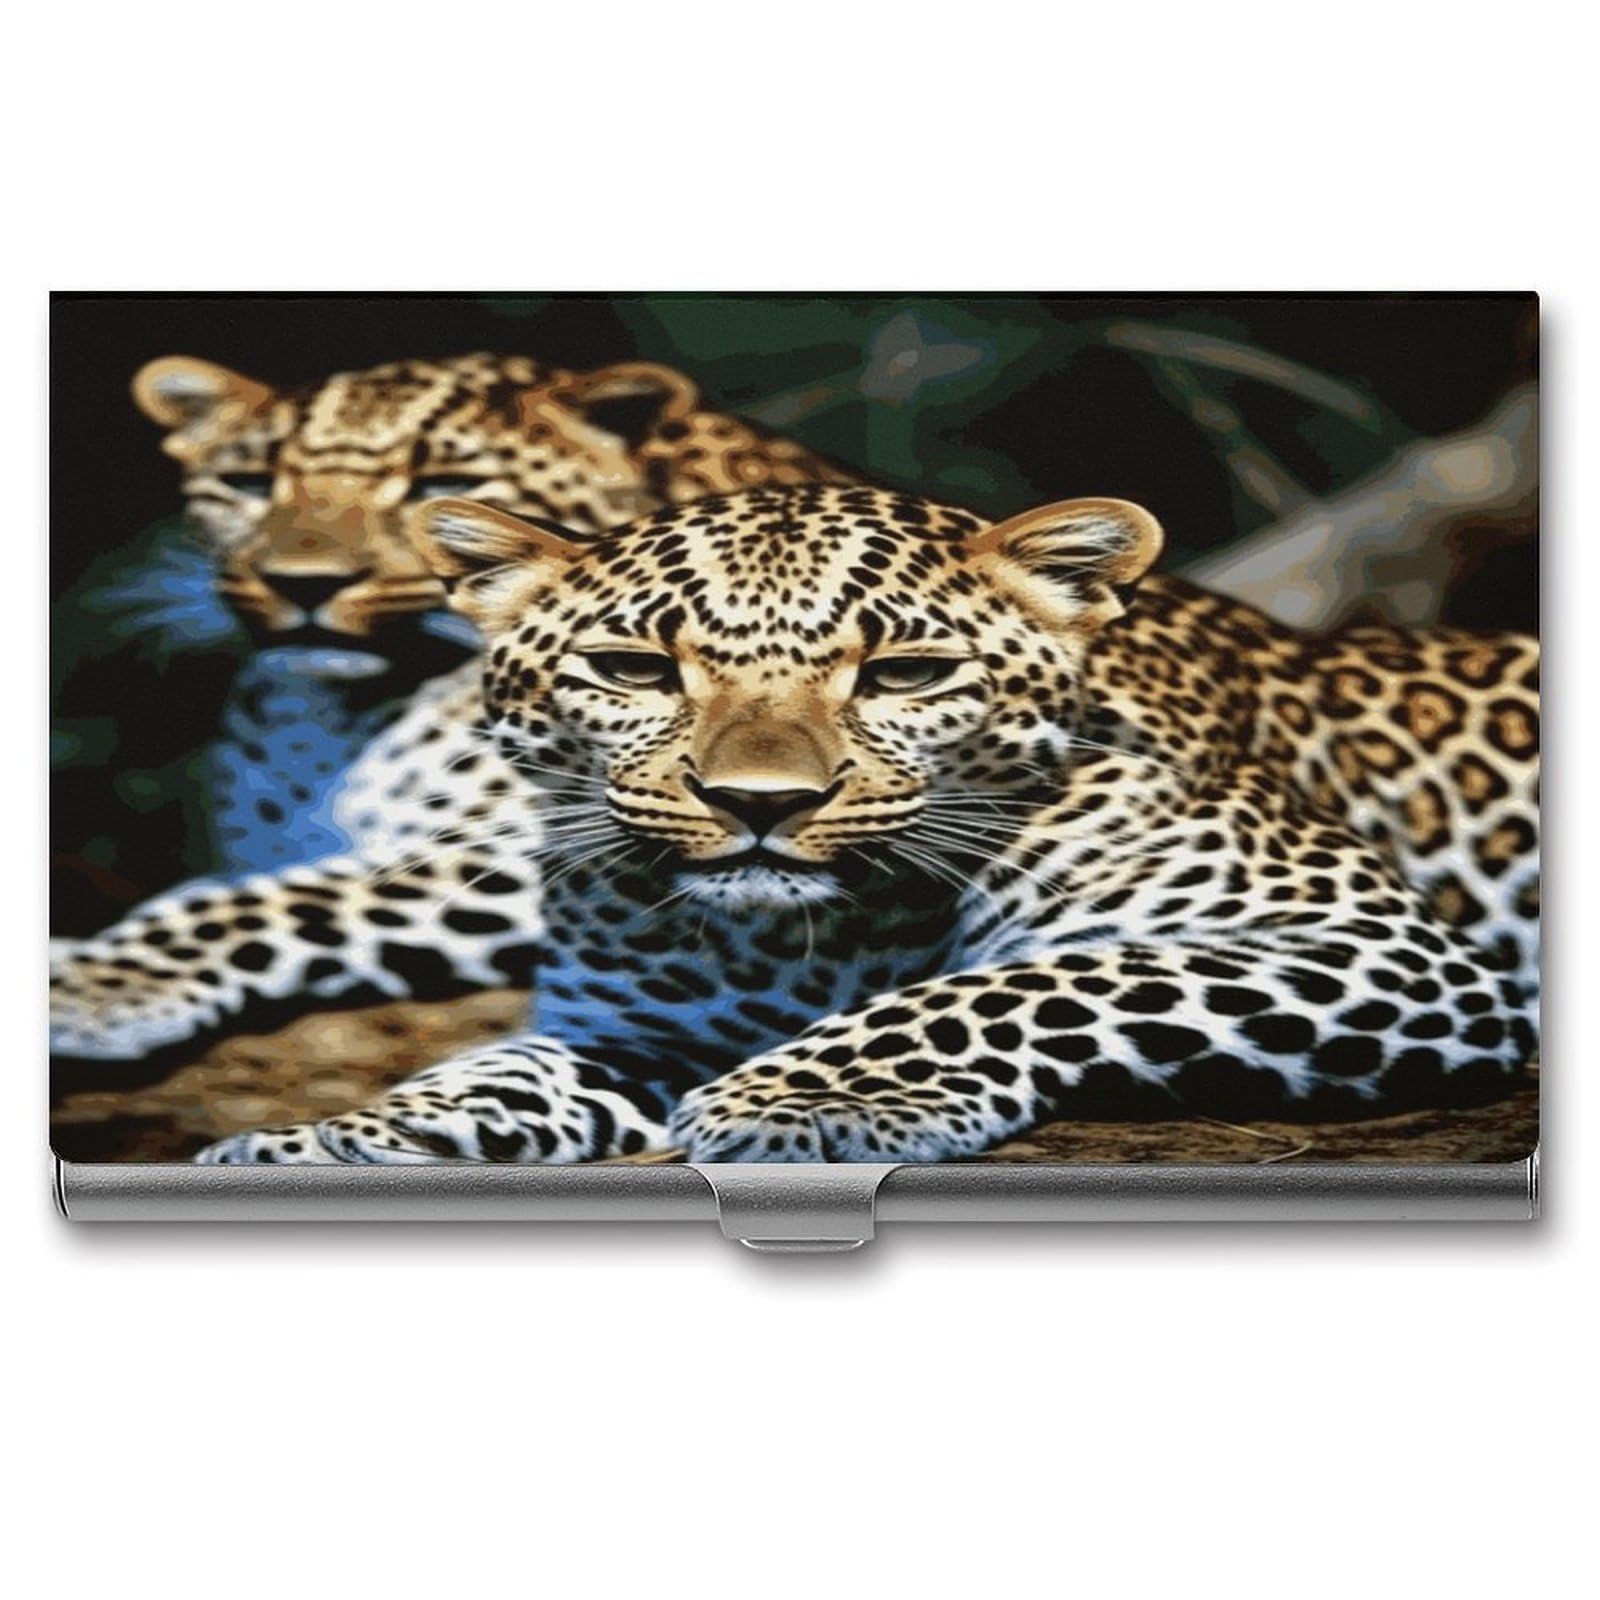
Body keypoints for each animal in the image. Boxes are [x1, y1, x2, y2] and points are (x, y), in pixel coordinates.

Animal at [49, 483, 1540, 1164]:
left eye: (905, 674)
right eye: (635, 669)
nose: (759, 807)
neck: (809, 945)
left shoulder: (1378, 942)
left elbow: (1038, 978)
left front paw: (812, 1095)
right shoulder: (632, 1025)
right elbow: (481, 1077)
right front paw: (325, 1141)